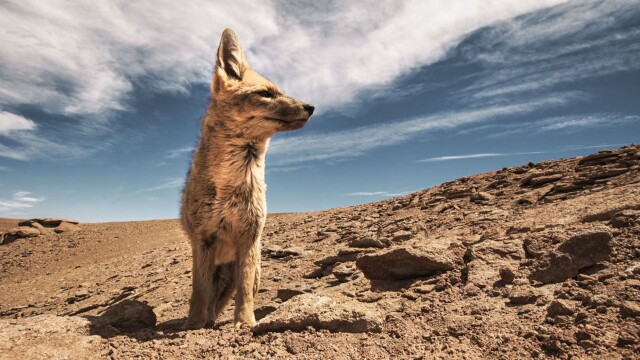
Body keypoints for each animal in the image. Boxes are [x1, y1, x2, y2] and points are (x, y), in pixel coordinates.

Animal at [180, 27, 316, 330]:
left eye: (280, 91)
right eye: (265, 93)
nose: (310, 106)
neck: (230, 184)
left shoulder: (250, 237)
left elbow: (244, 292)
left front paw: (244, 322)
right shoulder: (203, 240)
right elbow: (199, 291)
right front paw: (193, 325)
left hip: (252, 266)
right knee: (210, 298)